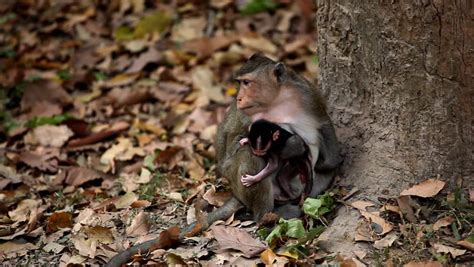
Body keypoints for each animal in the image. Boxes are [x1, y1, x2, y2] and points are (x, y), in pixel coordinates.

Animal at [236, 54, 340, 197]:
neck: (277, 99)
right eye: (240, 83)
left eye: (246, 82)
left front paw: (326, 164)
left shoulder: (308, 97)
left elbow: (323, 122)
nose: (238, 99)